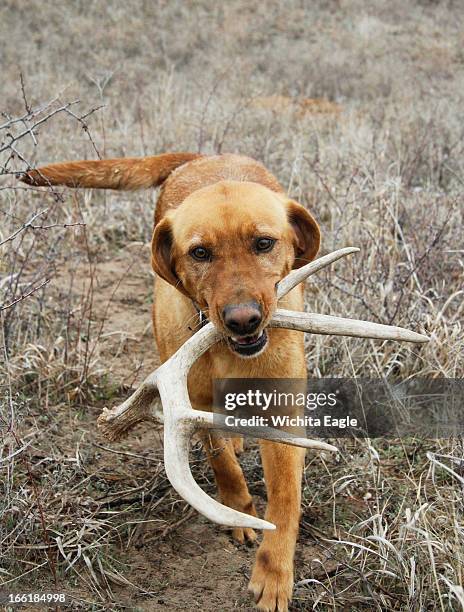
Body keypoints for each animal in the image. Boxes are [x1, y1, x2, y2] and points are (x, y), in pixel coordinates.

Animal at [21, 152, 322, 608]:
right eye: (199, 252)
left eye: (264, 243)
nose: (243, 320)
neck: (223, 348)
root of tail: (205, 156)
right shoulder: (192, 401)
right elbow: (222, 463)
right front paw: (240, 511)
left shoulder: (284, 412)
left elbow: (286, 497)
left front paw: (274, 574)